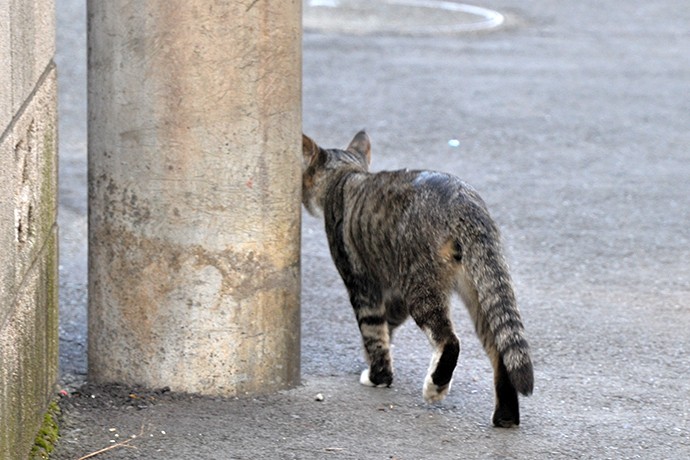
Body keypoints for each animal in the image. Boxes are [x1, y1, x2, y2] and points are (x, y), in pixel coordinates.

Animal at [300, 129, 532, 428]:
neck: (346, 175)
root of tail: (465, 201)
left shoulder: (361, 281)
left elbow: (373, 330)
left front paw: (378, 376)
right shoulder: (394, 293)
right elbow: (388, 325)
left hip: (421, 284)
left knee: (449, 341)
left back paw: (436, 386)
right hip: (480, 288)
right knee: (500, 350)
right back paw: (506, 416)